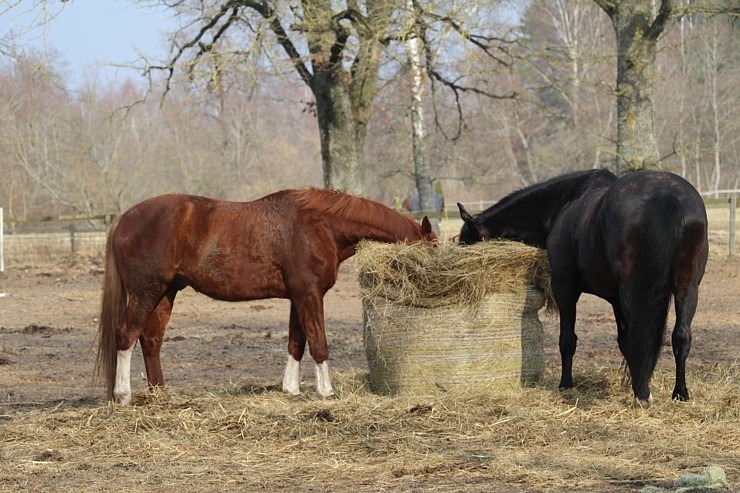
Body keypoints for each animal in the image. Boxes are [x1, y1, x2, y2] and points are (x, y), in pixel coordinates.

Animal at [95, 188, 436, 404]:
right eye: (432, 249)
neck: (320, 225)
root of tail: (124, 219)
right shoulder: (310, 295)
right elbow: (319, 343)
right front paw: (326, 391)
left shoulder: (299, 297)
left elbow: (297, 342)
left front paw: (291, 389)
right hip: (145, 292)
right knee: (125, 335)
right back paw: (123, 395)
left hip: (166, 292)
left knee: (150, 340)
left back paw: (160, 393)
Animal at [460, 167, 708, 406]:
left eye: (468, 243)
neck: (564, 203)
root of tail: (664, 195)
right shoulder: (615, 299)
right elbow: (624, 342)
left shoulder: (565, 289)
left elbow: (568, 340)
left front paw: (566, 384)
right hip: (688, 288)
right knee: (681, 336)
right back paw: (679, 393)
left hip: (634, 292)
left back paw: (643, 394)